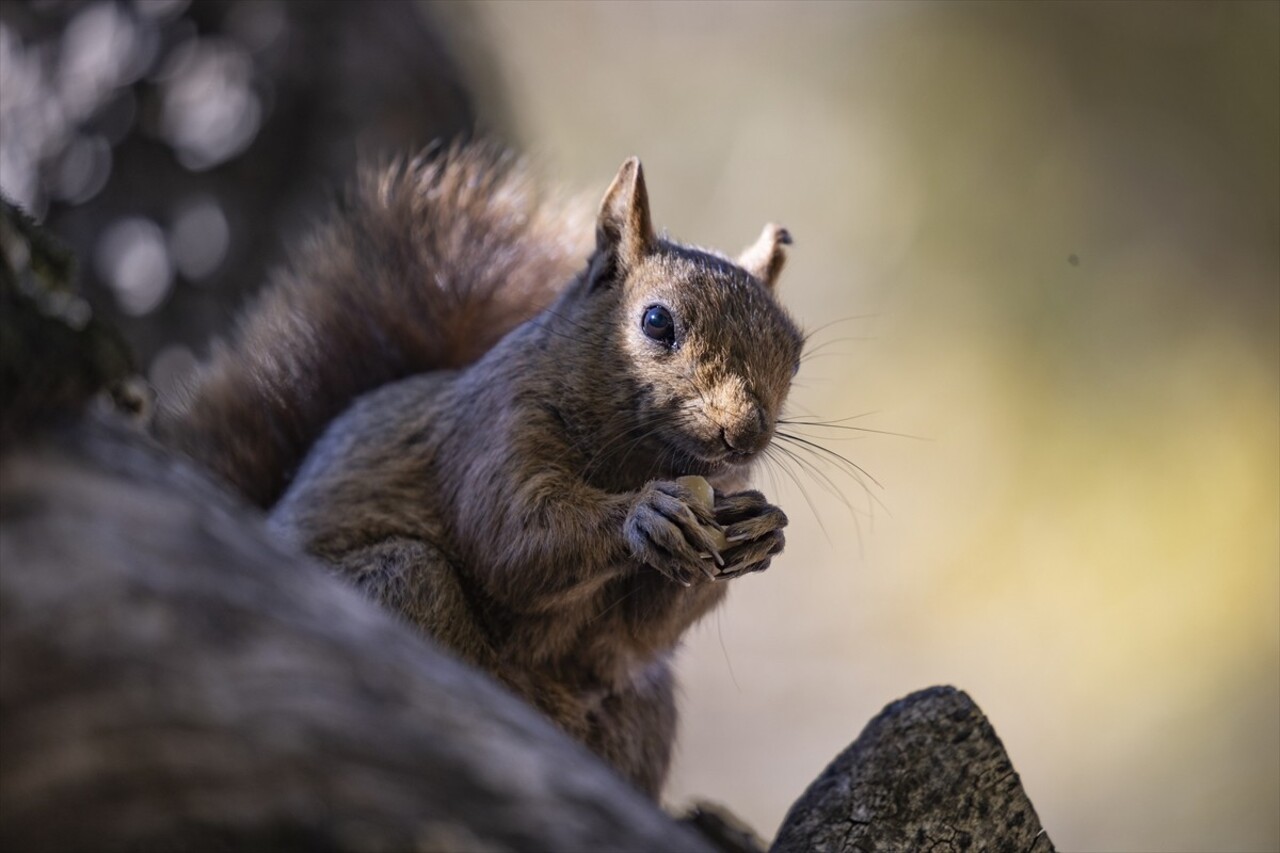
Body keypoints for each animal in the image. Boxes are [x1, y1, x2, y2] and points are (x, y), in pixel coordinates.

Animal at [157, 142, 798, 794]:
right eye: (656, 322)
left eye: (794, 354)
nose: (745, 434)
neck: (638, 459)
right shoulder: (493, 431)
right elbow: (513, 541)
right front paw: (645, 514)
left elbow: (635, 634)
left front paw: (761, 530)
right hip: (398, 586)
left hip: (644, 707)